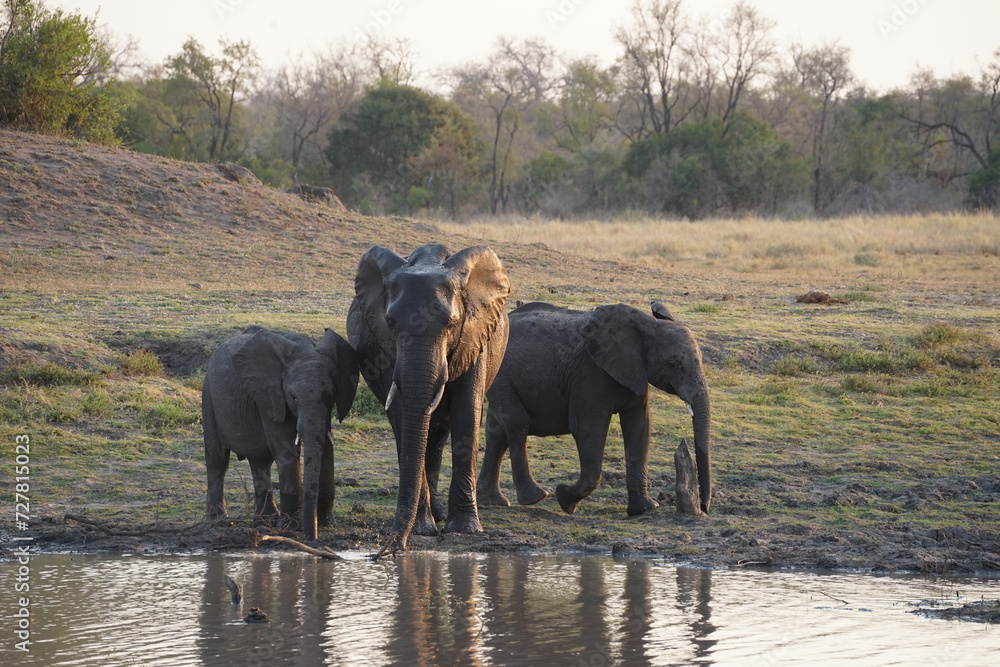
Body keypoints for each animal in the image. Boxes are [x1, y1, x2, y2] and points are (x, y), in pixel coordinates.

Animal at [202, 325, 359, 540]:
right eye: (293, 397)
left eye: (332, 394)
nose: (312, 537)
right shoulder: (271, 397)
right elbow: (286, 451)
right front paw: (291, 526)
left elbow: (326, 447)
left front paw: (325, 522)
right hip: (208, 396)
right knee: (217, 459)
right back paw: (218, 521)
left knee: (259, 463)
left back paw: (264, 522)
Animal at [348, 243, 510, 553]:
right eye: (390, 323)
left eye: (451, 324)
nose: (393, 547)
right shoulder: (385, 351)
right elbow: (403, 417)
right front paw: (423, 529)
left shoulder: (474, 336)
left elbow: (466, 414)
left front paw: (465, 529)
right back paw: (432, 517)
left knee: (438, 434)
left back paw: (441, 516)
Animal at [477, 301, 712, 517]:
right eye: (674, 364)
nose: (703, 507)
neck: (648, 325)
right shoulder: (591, 373)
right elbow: (588, 428)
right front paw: (564, 499)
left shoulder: (637, 373)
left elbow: (639, 427)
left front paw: (644, 509)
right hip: (499, 372)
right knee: (517, 422)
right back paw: (536, 497)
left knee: (497, 432)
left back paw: (493, 501)